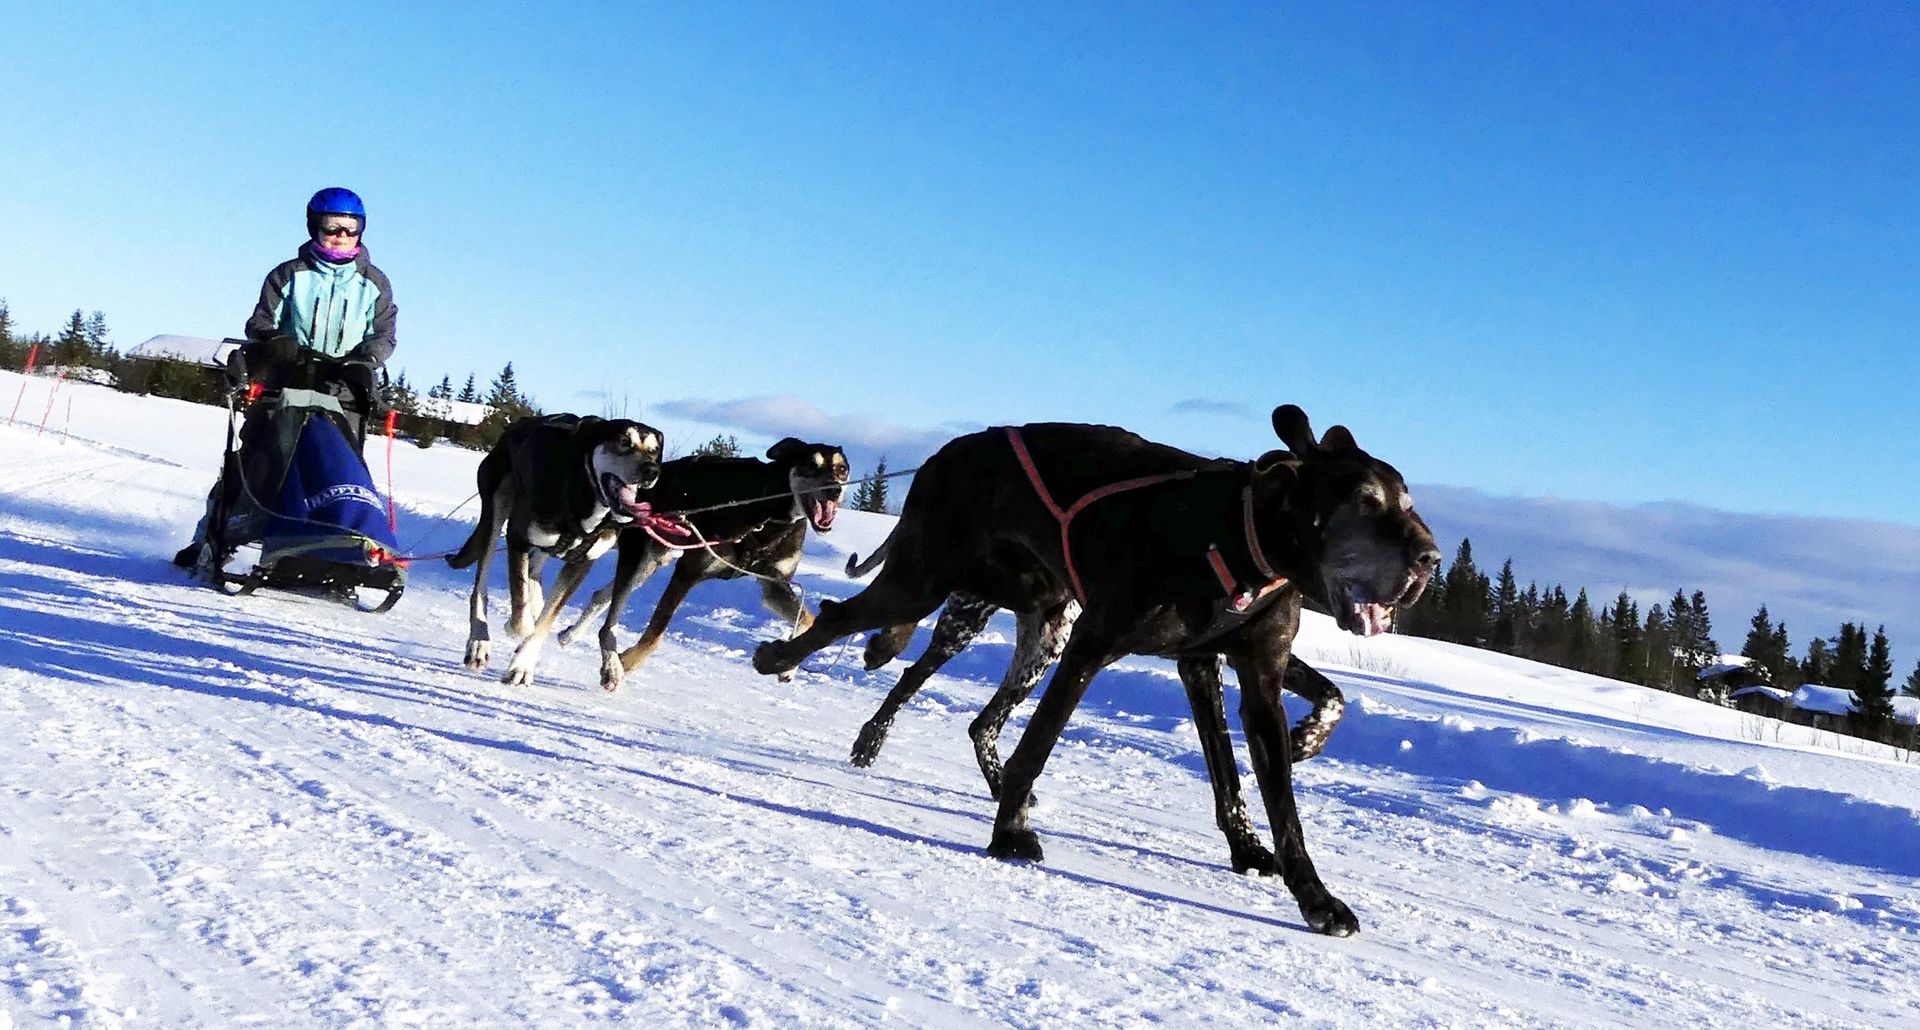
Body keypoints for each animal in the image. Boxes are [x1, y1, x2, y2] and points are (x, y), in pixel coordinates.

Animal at [445, 411, 664, 684]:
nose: (651, 470)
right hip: (496, 508)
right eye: (624, 441)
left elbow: (548, 617)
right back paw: (479, 641)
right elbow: (521, 611)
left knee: (535, 575)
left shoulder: (581, 563)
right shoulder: (518, 537)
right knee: (481, 587)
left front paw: (523, 663)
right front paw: (519, 630)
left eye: (654, 451)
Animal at [560, 436, 852, 691]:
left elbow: (809, 620)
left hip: (651, 565)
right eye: (811, 465)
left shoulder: (775, 586)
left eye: (841, 469)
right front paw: (627, 662)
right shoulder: (687, 574)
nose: (834, 489)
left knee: (600, 596)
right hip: (639, 559)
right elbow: (655, 635)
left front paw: (788, 667)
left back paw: (570, 635)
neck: (768, 514)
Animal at [752, 405, 1443, 937]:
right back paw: (786, 664)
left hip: (1035, 628)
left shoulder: (1237, 672)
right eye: (1364, 503)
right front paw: (1010, 835)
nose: (1431, 558)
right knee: (846, 622)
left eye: (1408, 503)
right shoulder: (1093, 646)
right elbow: (1038, 745)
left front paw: (1304, 888)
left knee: (975, 716)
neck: (1240, 536)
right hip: (928, 585)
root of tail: (950, 448)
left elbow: (1268, 788)